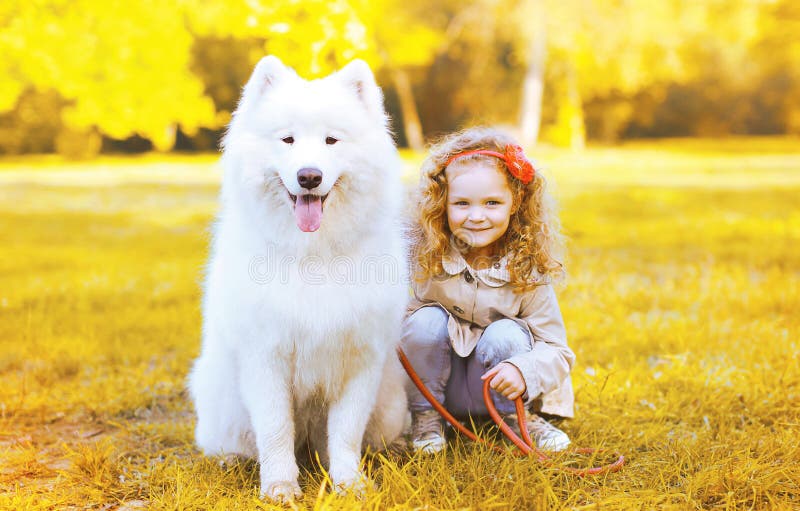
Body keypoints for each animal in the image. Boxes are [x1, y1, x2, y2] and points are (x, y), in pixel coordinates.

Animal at [188, 55, 410, 500]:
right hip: (219, 397)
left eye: (331, 141)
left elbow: (346, 434)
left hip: (392, 398)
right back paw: (229, 459)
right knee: (230, 441)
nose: (309, 176)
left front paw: (349, 483)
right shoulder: (265, 359)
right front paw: (280, 487)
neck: (313, 255)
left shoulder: (359, 362)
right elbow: (275, 431)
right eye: (287, 140)